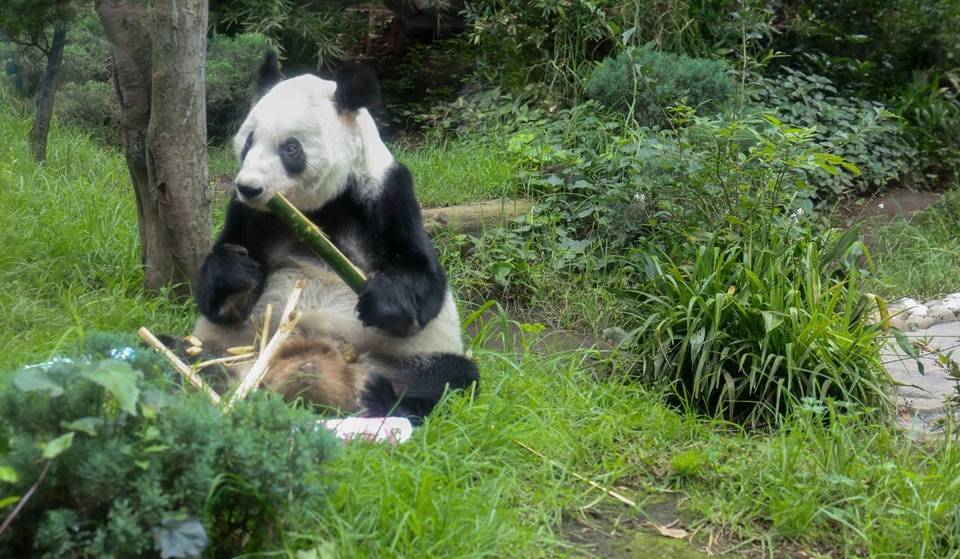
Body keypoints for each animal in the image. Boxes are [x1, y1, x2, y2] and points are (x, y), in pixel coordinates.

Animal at [190, 52, 479, 421]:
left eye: (291, 148)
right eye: (249, 140)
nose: (249, 187)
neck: (315, 209)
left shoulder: (386, 192)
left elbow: (423, 281)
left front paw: (383, 298)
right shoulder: (247, 213)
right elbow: (215, 299)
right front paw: (237, 271)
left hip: (405, 359)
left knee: (451, 377)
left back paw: (380, 397)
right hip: (234, 348)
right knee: (178, 350)